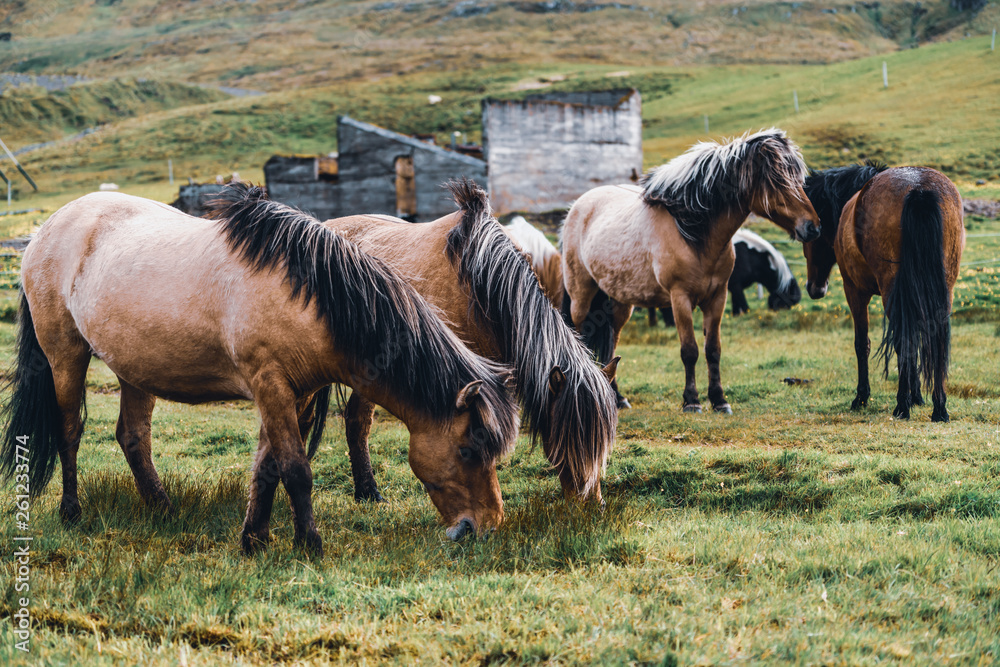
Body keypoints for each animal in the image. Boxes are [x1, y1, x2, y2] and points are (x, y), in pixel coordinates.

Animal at [0, 183, 516, 552]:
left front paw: (255, 539)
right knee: (69, 431)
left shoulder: (292, 393)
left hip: (134, 369)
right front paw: (309, 543)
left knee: (133, 437)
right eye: (468, 450)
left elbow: (268, 467)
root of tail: (48, 228)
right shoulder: (270, 385)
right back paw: (71, 512)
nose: (486, 526)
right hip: (65, 355)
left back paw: (162, 508)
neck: (310, 294)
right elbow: (295, 468)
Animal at [564, 128, 820, 412]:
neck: (691, 233)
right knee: (582, 335)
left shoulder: (718, 297)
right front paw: (692, 401)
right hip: (581, 295)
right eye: (777, 180)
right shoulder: (680, 299)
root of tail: (579, 206)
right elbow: (690, 350)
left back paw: (618, 397)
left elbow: (713, 349)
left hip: (620, 301)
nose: (813, 227)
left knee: (612, 341)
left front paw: (719, 401)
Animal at [804, 164, 960, 420]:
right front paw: (917, 396)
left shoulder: (854, 291)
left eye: (811, 234)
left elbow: (862, 344)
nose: (814, 288)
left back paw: (902, 406)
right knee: (935, 341)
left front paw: (861, 397)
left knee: (903, 341)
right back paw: (939, 408)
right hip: (944, 288)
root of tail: (918, 187)